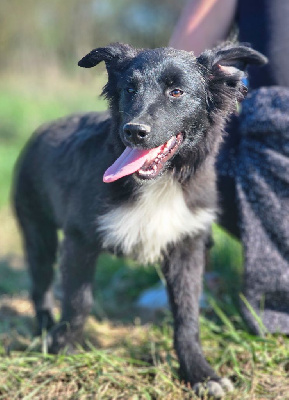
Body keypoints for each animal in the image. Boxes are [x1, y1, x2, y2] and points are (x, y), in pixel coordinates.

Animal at [13, 41, 266, 396]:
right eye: (129, 89)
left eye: (176, 91)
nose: (133, 131)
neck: (161, 182)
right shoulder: (79, 239)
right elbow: (78, 302)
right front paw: (63, 354)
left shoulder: (188, 244)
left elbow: (187, 316)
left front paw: (200, 374)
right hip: (38, 230)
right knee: (41, 286)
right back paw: (46, 330)